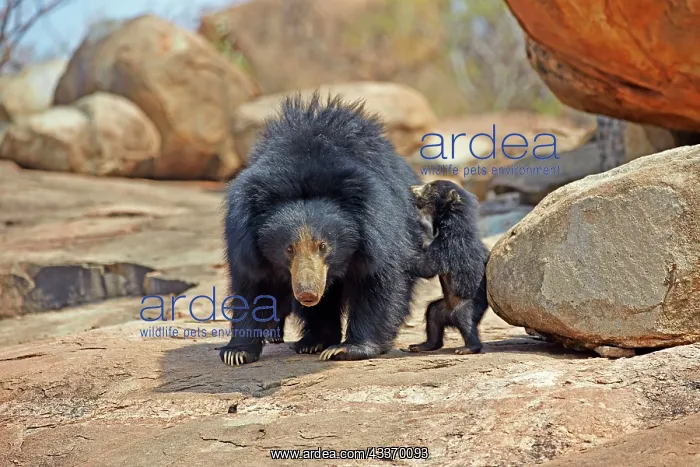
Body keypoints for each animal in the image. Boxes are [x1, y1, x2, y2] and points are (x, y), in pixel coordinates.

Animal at [219, 92, 425, 366]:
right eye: (288, 248)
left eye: (323, 246)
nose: (307, 294)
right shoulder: (244, 239)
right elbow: (251, 286)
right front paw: (236, 352)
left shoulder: (378, 231)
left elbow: (377, 282)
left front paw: (348, 349)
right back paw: (312, 342)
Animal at [406, 180, 489, 355]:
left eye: (429, 186)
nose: (411, 188)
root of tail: (449, 315)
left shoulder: (450, 246)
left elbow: (427, 267)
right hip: (440, 308)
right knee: (432, 318)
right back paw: (420, 346)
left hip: (467, 303)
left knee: (465, 319)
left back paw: (468, 348)